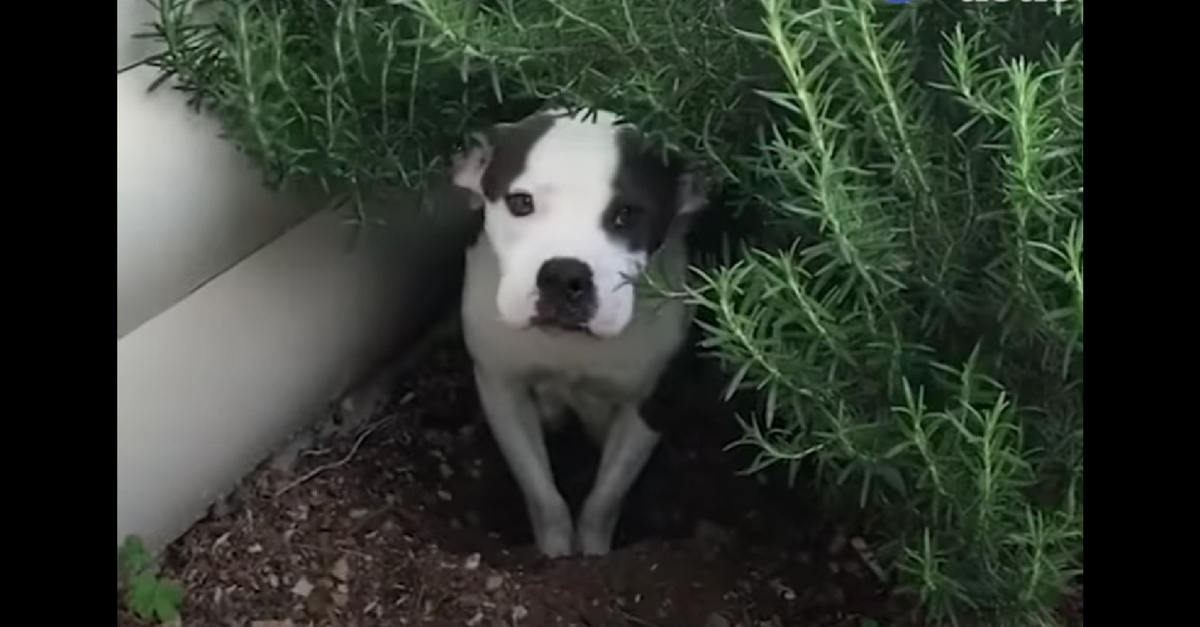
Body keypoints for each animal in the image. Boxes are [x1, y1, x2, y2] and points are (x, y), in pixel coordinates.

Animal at [449, 108, 708, 557]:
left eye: (627, 214)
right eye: (521, 203)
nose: (563, 274)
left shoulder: (648, 402)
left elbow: (606, 496)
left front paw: (592, 552)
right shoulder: (503, 386)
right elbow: (541, 491)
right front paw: (555, 551)